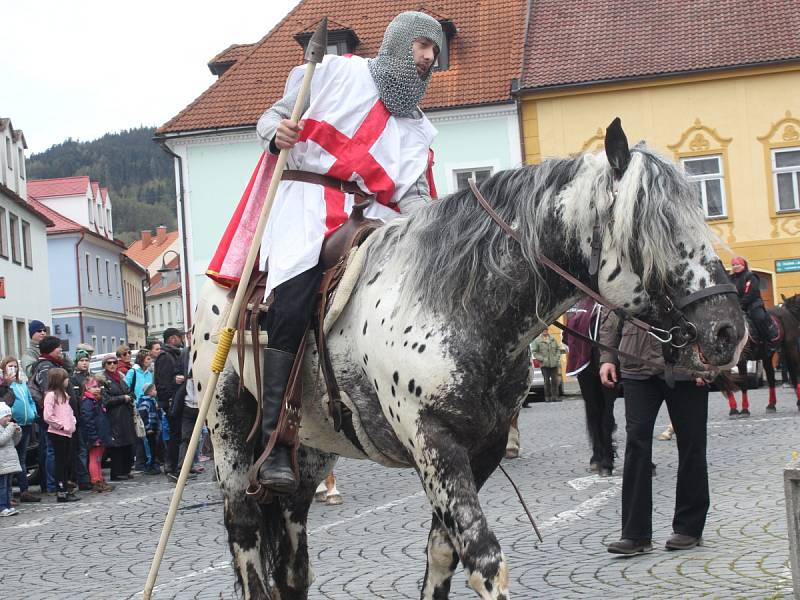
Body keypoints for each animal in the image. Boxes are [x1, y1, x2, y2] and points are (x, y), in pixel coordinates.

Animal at [192, 119, 744, 596]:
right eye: (651, 231)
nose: (729, 330)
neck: (457, 302)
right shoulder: (434, 442)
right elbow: (485, 561)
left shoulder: (484, 446)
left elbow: (443, 554)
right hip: (228, 440)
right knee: (246, 542)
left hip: (309, 451)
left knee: (292, 569)